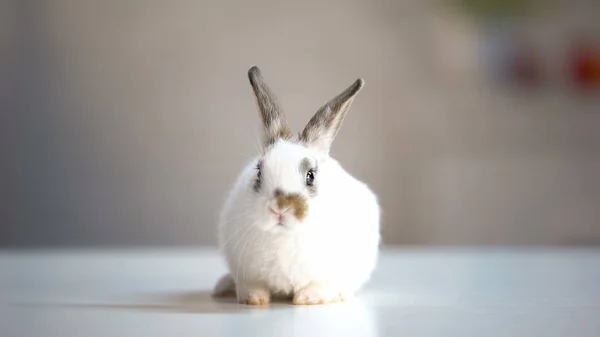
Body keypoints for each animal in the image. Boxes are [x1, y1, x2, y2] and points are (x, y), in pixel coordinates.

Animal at [212, 65, 380, 304]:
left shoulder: (327, 274)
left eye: (310, 175)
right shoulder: (247, 274)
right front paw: (253, 299)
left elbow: (319, 285)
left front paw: (308, 299)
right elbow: (252, 285)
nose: (280, 207)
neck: (284, 236)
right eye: (259, 171)